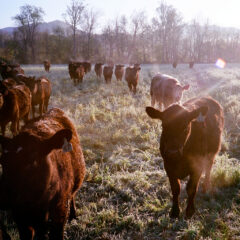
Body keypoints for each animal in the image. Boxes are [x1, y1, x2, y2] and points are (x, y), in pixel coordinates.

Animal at [0, 108, 86, 239]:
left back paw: (73, 215)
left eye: (33, 160)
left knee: (72, 195)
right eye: (2, 161)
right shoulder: (21, 219)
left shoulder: (59, 215)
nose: (3, 196)